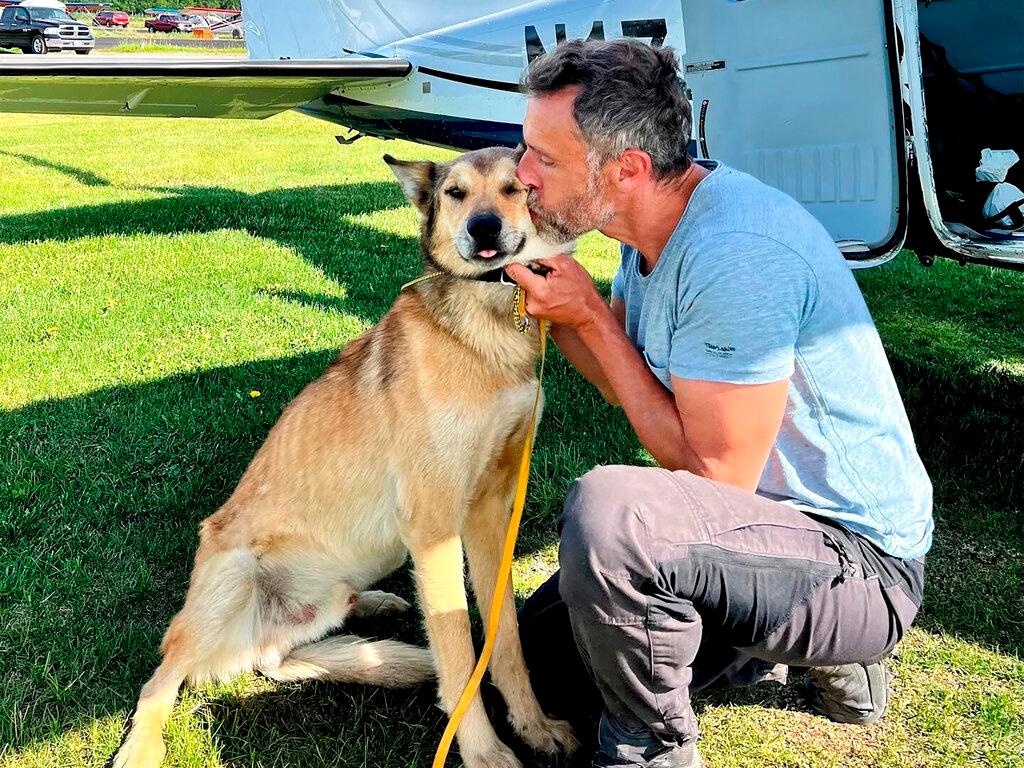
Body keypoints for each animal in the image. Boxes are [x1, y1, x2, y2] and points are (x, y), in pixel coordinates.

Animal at [113, 145, 581, 768]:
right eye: (456, 193)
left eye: (516, 187)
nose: (483, 227)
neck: (490, 324)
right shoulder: (433, 524)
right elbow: (460, 656)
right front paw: (485, 754)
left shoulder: (490, 510)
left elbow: (503, 637)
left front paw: (535, 726)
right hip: (229, 581)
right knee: (162, 679)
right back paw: (141, 746)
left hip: (324, 600)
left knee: (280, 658)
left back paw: (381, 625)